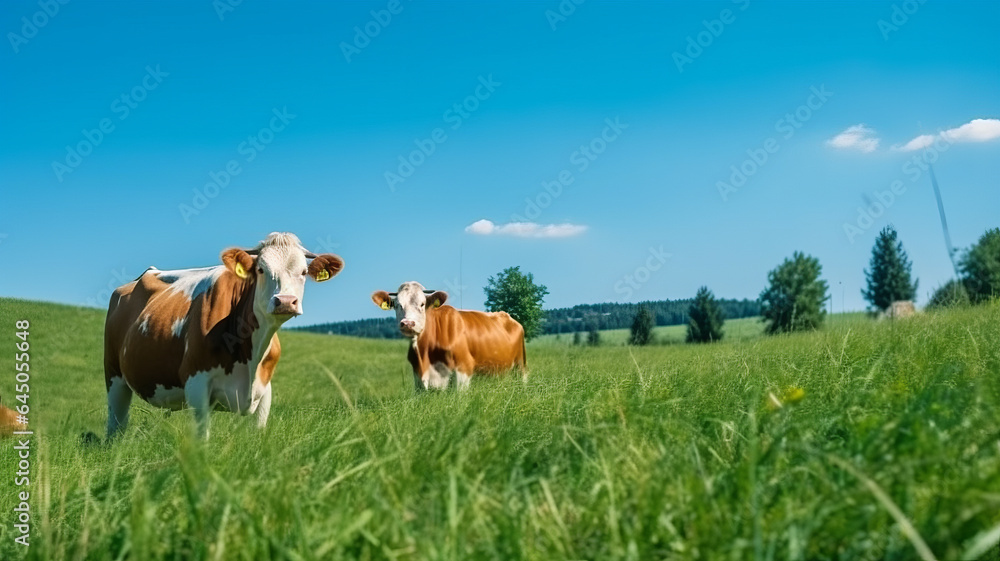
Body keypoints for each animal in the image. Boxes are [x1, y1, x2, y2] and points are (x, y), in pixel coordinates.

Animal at [104, 232, 344, 439]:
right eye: (261, 269)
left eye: (303, 272)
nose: (285, 301)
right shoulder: (196, 383)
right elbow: (203, 438)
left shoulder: (265, 390)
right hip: (113, 375)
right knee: (116, 423)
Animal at [371, 281, 526, 390]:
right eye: (397, 305)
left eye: (422, 304)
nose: (408, 323)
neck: (425, 354)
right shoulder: (418, 377)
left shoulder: (463, 369)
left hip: (520, 366)